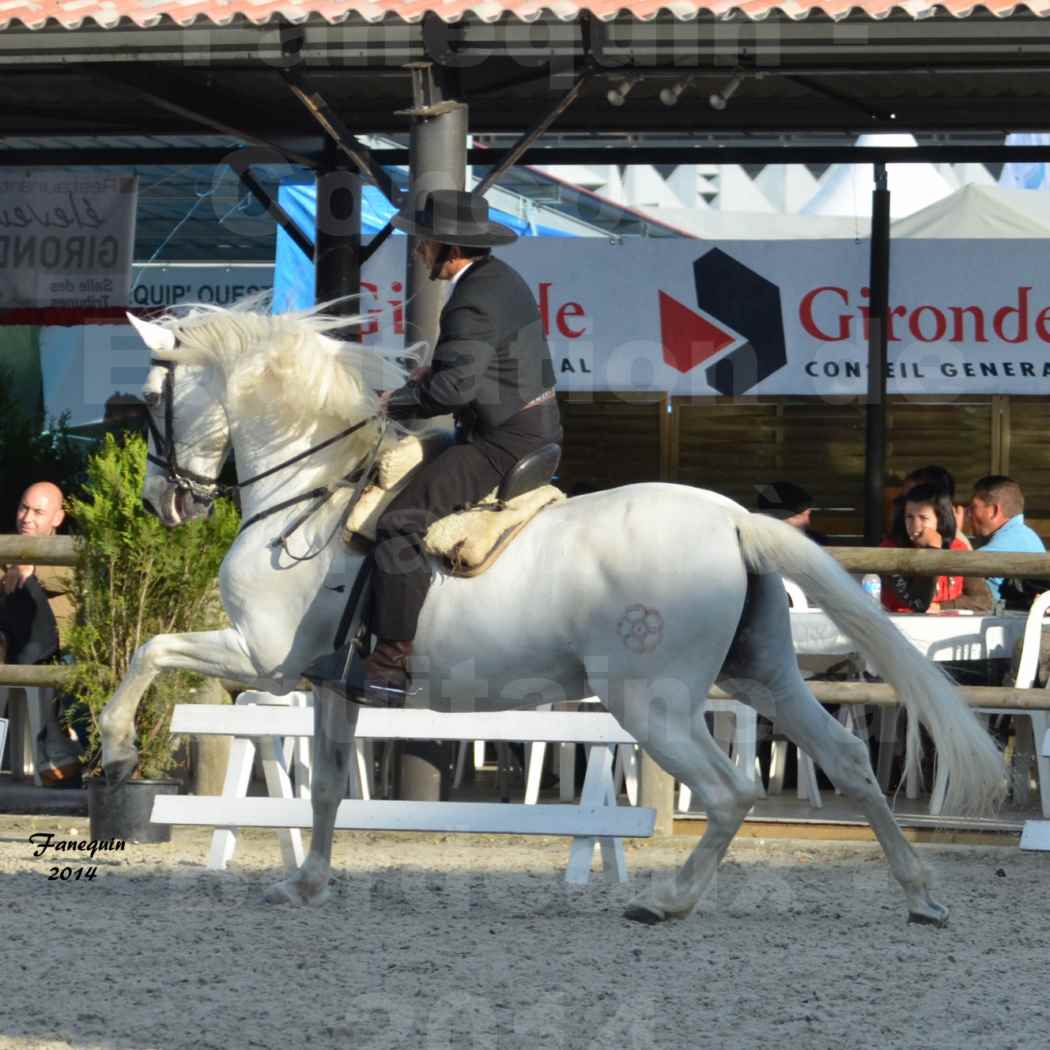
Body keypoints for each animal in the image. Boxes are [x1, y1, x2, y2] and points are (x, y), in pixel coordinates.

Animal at [108, 304, 1007, 928]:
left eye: (148, 398)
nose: (160, 502)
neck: (313, 491)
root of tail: (730, 519)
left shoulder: (261, 656)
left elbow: (150, 650)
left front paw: (117, 750)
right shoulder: (332, 683)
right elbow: (326, 785)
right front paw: (307, 882)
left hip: (652, 704)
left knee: (729, 792)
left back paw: (666, 902)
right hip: (762, 675)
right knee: (850, 761)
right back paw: (921, 896)